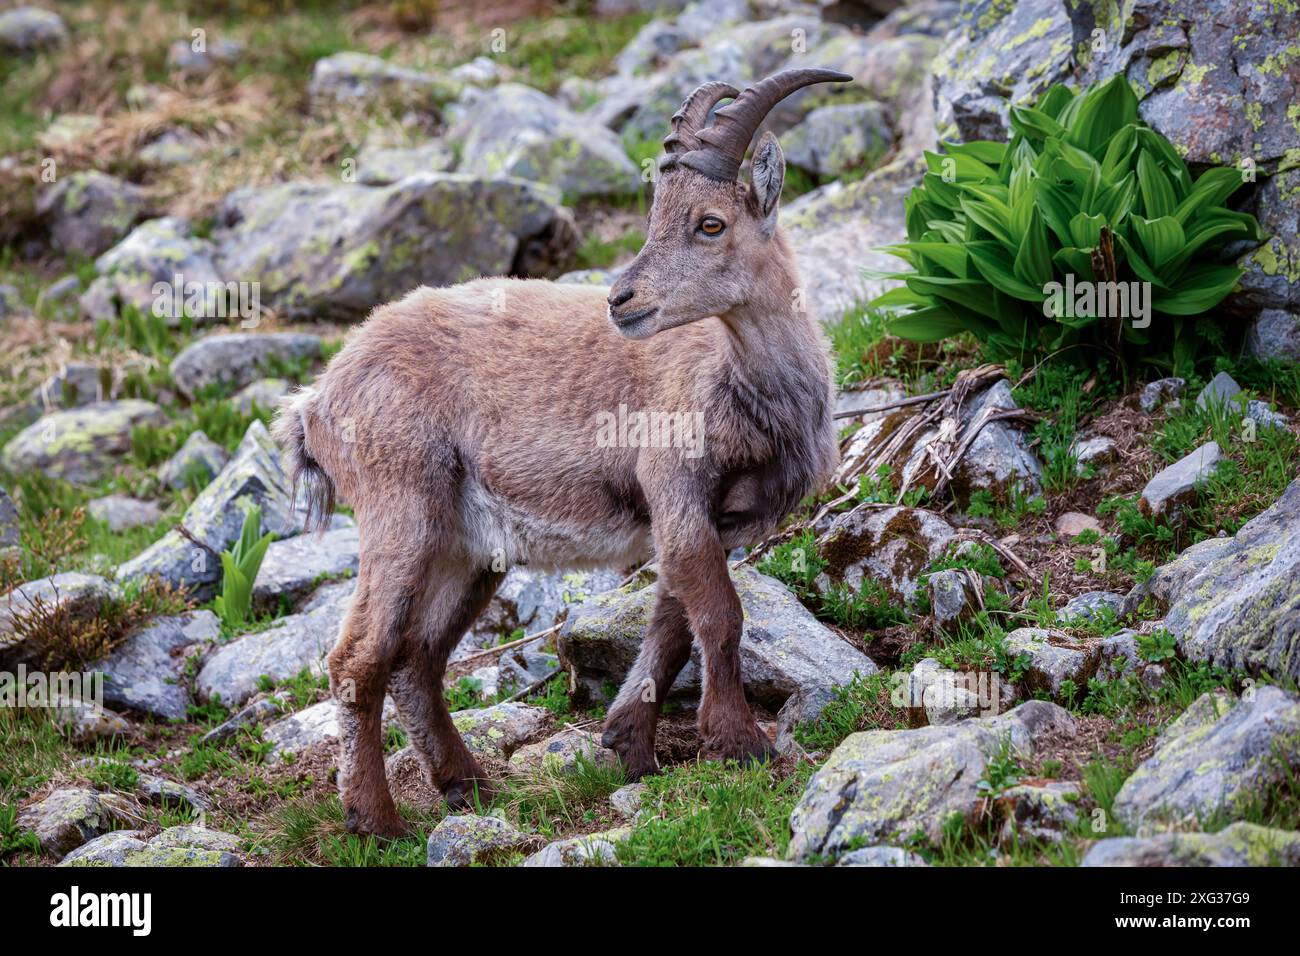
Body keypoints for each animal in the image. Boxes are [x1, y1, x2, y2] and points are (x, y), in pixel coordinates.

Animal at [272, 69, 850, 838]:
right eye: (659, 218)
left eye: (710, 223)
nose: (622, 300)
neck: (747, 384)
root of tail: (317, 399)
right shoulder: (676, 490)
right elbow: (721, 618)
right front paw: (740, 743)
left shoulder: (715, 524)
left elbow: (672, 624)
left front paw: (630, 745)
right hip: (403, 512)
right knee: (357, 659)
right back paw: (376, 818)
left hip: (468, 548)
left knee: (416, 659)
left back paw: (466, 784)